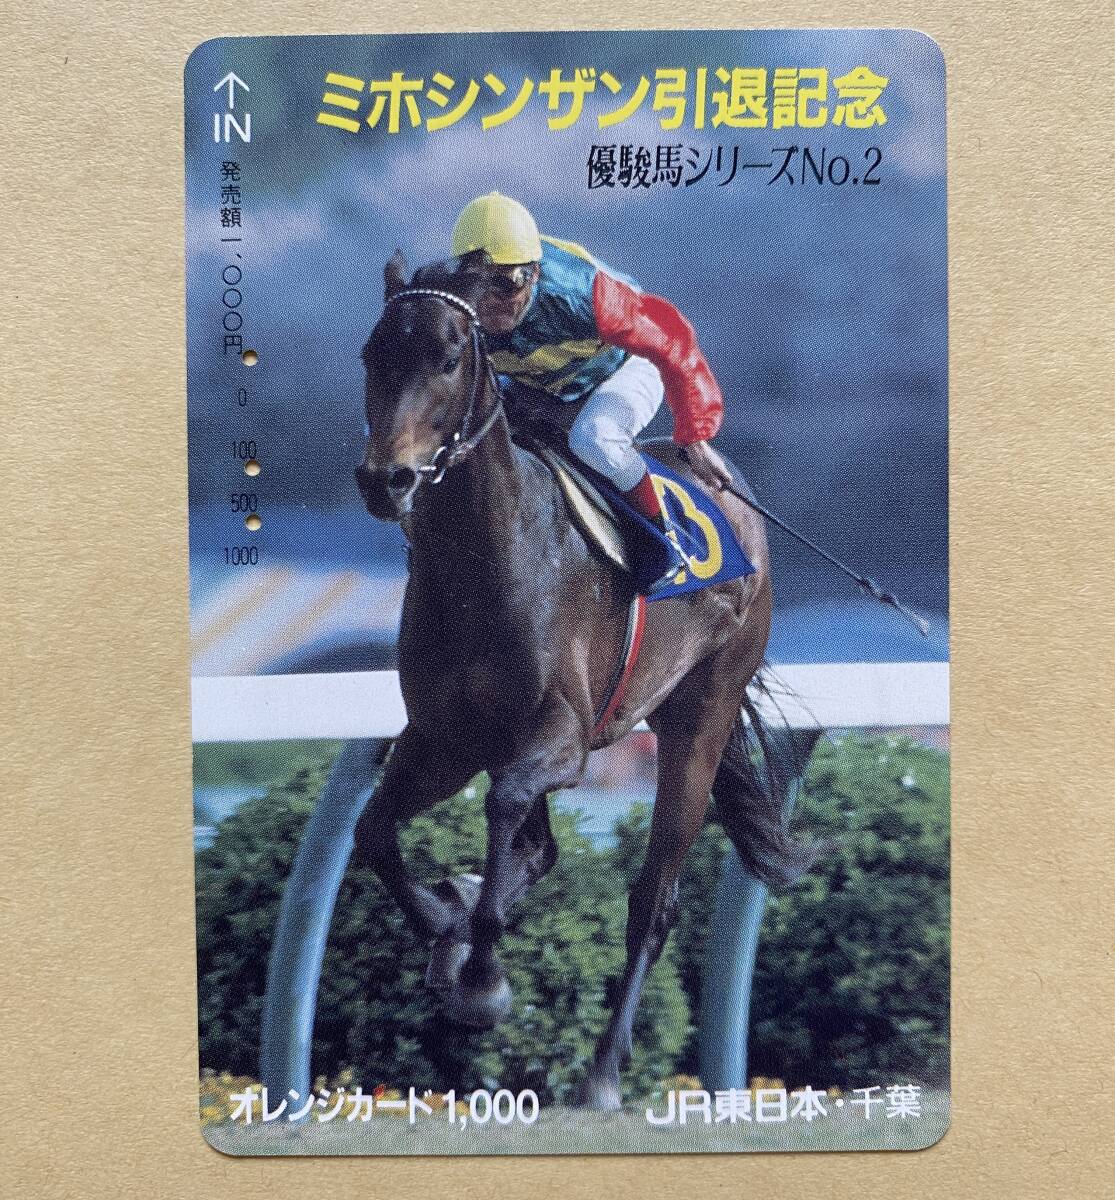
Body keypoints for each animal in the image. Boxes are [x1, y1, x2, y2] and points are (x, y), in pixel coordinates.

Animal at [352, 252, 814, 1110]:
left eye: (448, 358)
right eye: (372, 354)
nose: (384, 479)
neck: (485, 560)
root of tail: (735, 499)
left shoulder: (560, 737)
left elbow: (502, 806)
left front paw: (481, 978)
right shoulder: (442, 740)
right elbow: (375, 833)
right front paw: (445, 924)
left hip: (697, 720)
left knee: (651, 904)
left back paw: (600, 1073)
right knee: (537, 851)